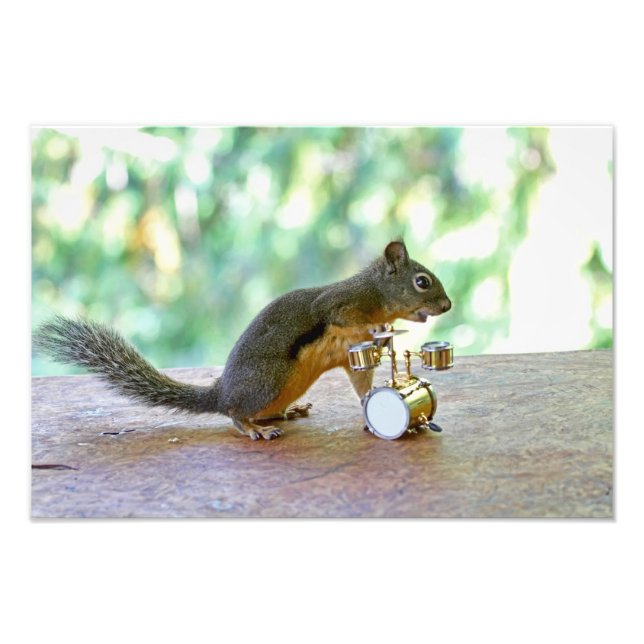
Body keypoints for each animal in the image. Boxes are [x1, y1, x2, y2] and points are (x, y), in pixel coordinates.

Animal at [34, 240, 451, 440]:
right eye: (422, 281)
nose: (447, 306)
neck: (377, 294)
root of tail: (220, 393)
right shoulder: (340, 304)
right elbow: (341, 318)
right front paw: (377, 330)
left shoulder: (354, 356)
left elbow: (364, 385)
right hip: (268, 380)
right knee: (234, 415)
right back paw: (255, 428)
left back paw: (285, 413)